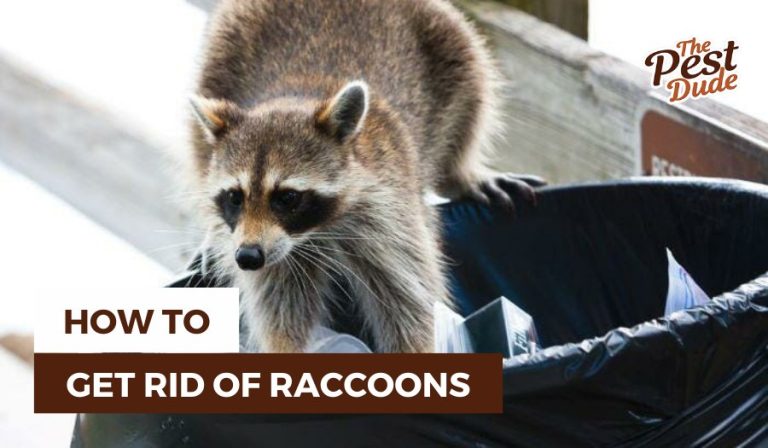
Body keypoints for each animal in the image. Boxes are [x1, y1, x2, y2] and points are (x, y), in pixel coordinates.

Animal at [188, 0, 543, 353]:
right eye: (234, 197)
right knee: (198, 141)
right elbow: (281, 309)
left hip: (447, 40)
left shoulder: (391, 215)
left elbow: (410, 304)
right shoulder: (275, 250)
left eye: (287, 197)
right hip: (222, 52)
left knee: (472, 93)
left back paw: (461, 173)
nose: (247, 257)